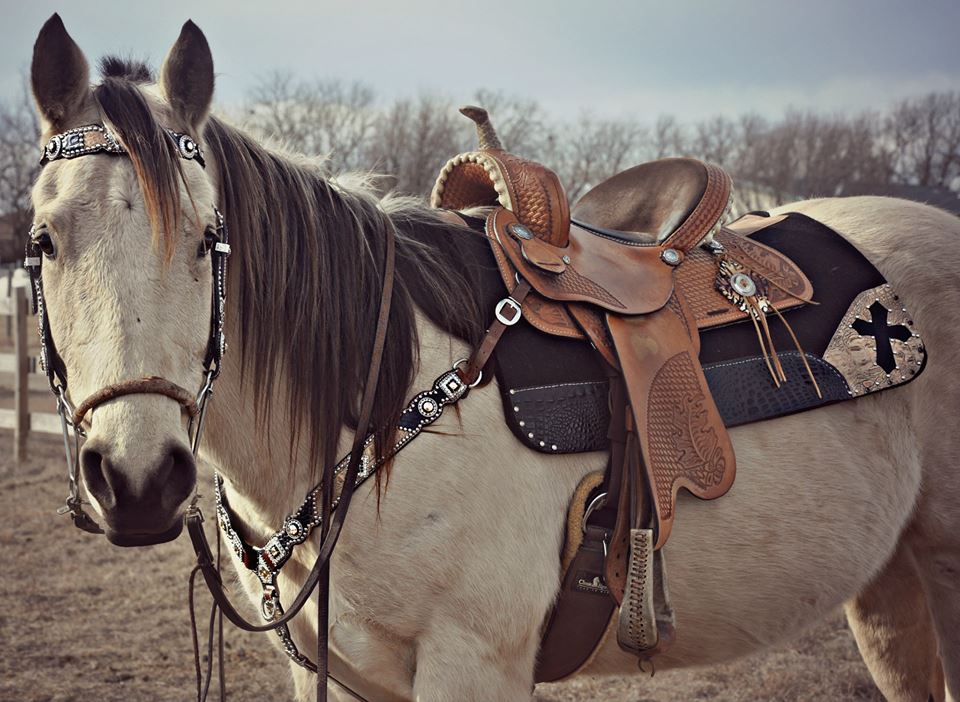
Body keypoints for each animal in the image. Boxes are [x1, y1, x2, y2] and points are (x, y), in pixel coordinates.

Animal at [28, 12, 960, 702]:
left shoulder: (472, 662)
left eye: (205, 241)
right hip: (890, 586)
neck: (388, 409)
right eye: (42, 242)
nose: (138, 481)